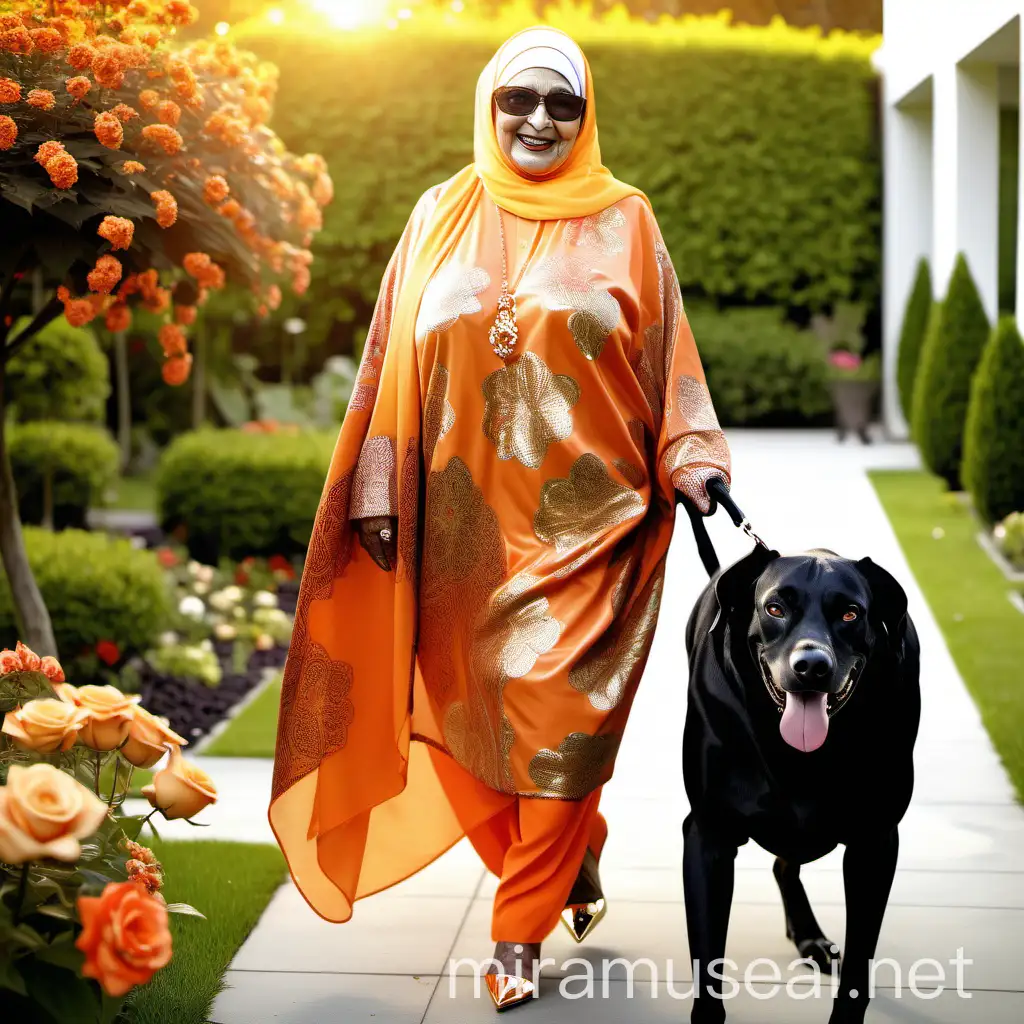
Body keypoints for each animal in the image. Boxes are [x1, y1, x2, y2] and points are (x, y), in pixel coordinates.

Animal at [679, 544, 921, 1024]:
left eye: (850, 613)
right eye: (775, 608)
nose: (811, 666)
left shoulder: (874, 845)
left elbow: (858, 971)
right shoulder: (708, 836)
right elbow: (708, 963)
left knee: (785, 864)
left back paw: (809, 936)